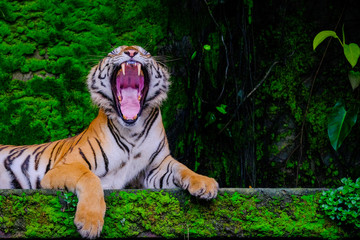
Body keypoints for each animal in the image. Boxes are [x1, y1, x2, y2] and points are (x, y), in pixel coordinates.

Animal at [0, 46, 219, 239]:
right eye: (114, 52)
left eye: (145, 52)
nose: (131, 52)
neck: (132, 130)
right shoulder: (65, 166)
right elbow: (90, 178)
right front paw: (89, 222)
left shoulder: (155, 167)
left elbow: (181, 167)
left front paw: (205, 183)